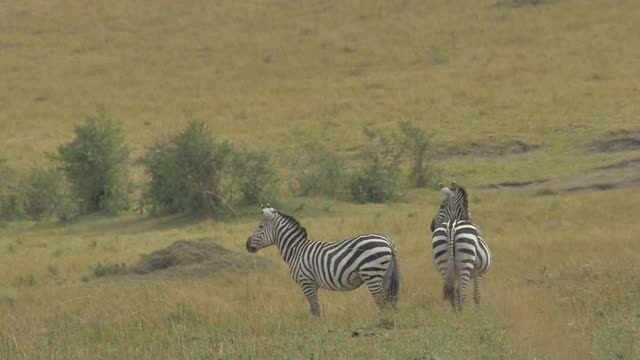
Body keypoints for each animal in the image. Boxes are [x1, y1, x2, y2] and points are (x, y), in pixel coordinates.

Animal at [246, 204, 400, 316]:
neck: (296, 250)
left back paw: (380, 321)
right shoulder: (311, 284)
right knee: (389, 301)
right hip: (384, 275)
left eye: (260, 226)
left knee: (381, 301)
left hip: (371, 273)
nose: (247, 245)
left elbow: (315, 309)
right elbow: (313, 309)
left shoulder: (306, 282)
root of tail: (388, 241)